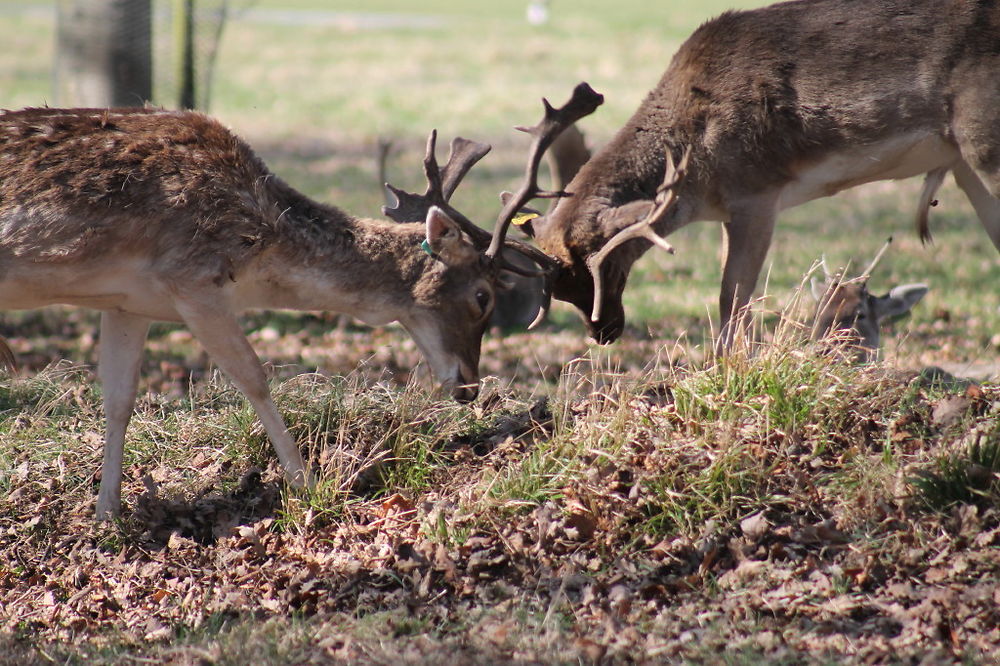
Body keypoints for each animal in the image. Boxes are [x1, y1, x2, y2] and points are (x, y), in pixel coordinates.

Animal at [0, 85, 592, 520]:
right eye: (482, 296)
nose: (469, 387)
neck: (261, 248)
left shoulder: (129, 302)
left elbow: (119, 398)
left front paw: (107, 513)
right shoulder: (192, 279)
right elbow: (255, 378)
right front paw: (307, 485)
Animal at [516, 0, 1000, 350]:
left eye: (605, 262)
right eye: (559, 291)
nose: (604, 332)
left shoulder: (758, 191)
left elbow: (732, 298)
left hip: (984, 143)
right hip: (965, 165)